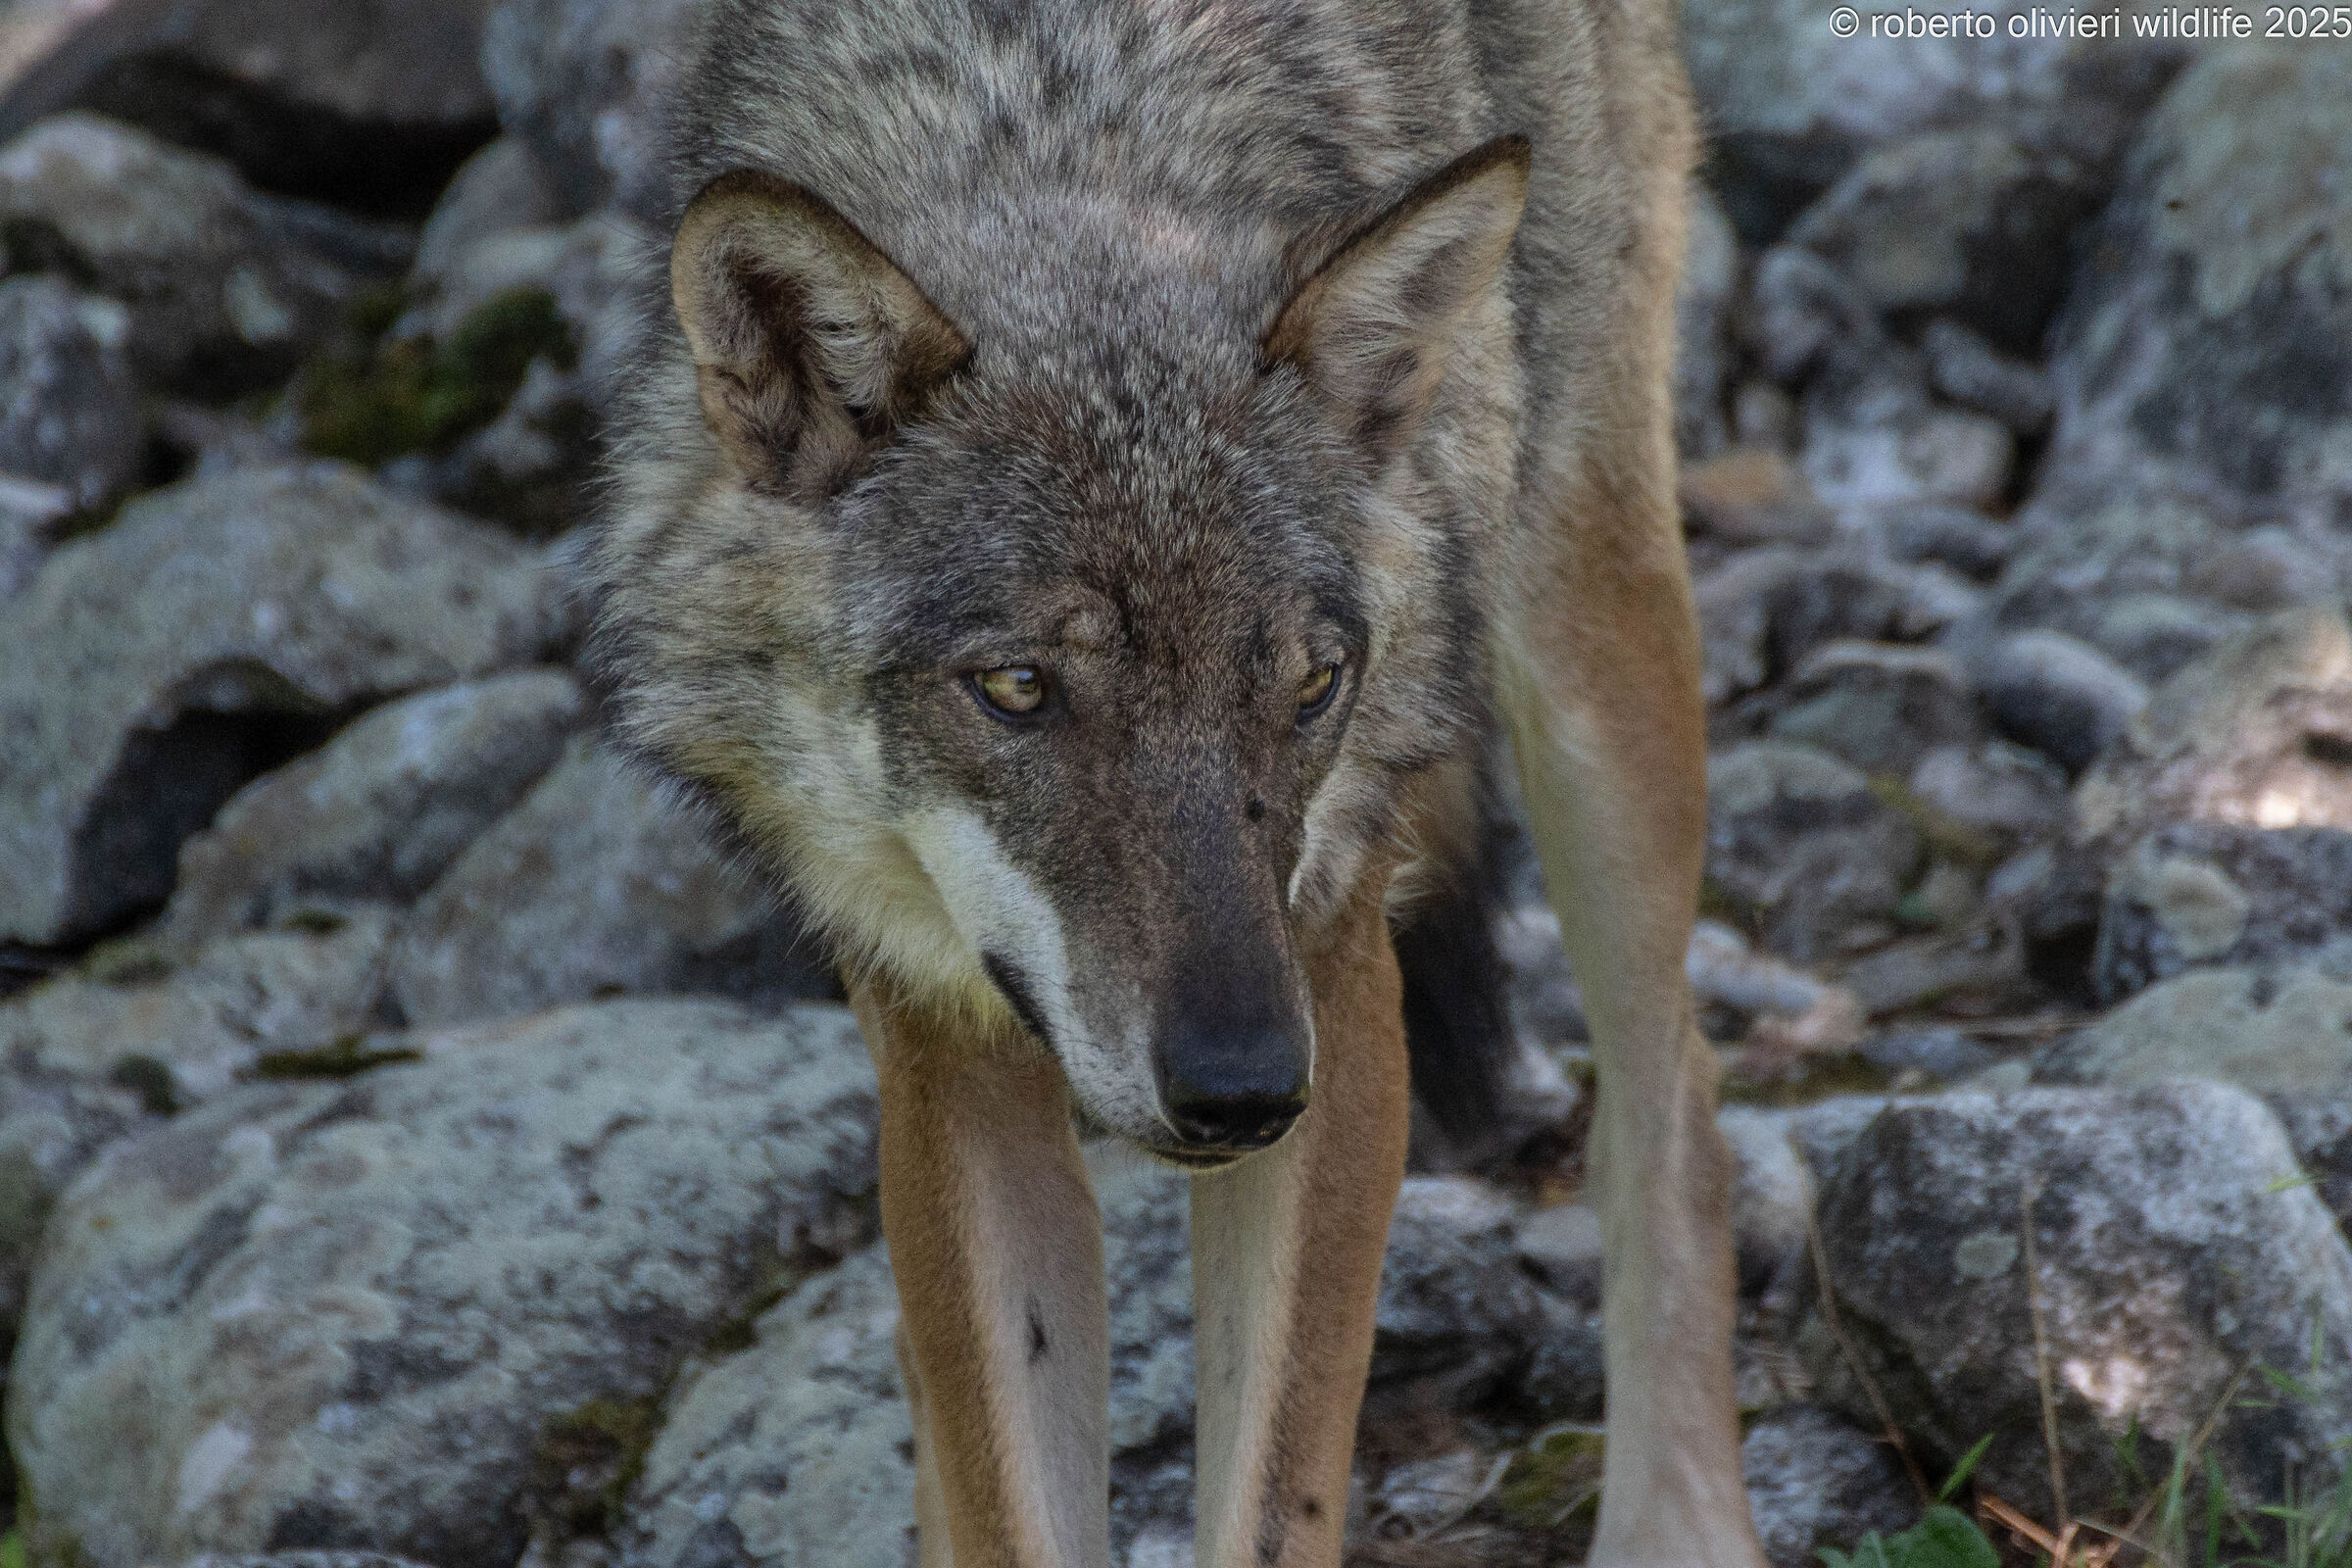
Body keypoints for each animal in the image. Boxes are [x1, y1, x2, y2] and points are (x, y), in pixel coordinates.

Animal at [582, 1, 1760, 1564]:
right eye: (1020, 688)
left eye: (1310, 687)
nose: (1241, 1089)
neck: (1073, 124)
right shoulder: (939, 1046)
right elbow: (1005, 1487)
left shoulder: (1336, 990)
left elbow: (1274, 1499)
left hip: (1584, 638)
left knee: (1674, 1104)